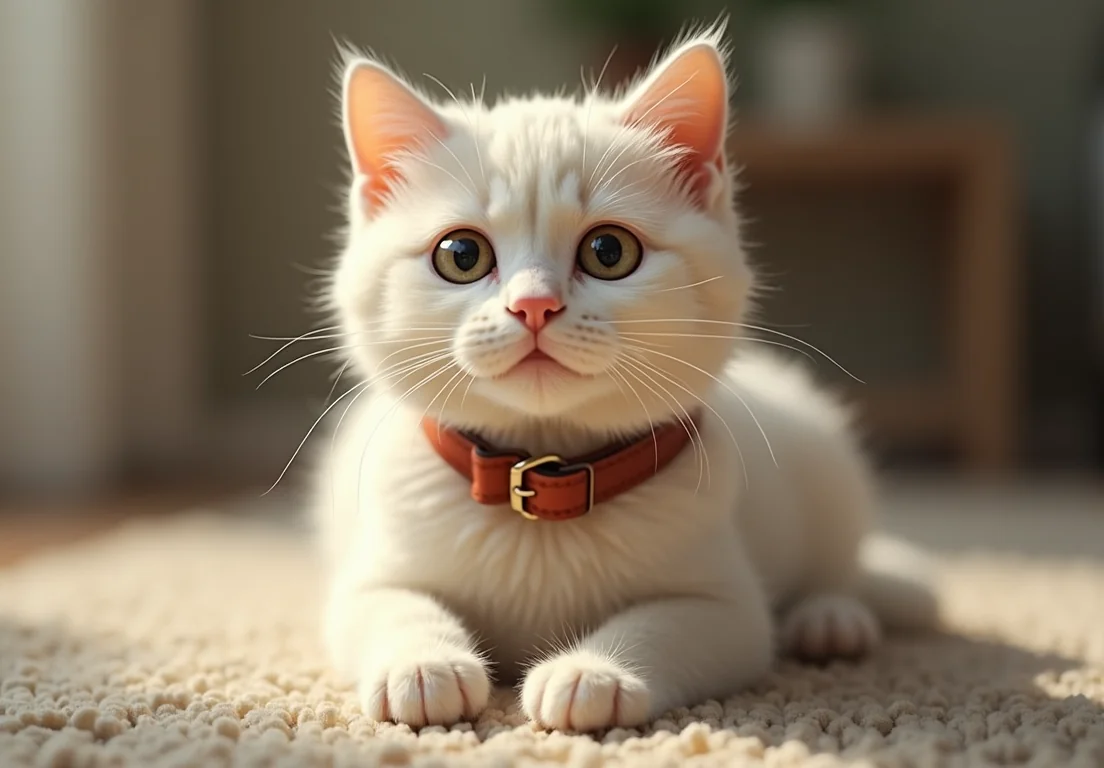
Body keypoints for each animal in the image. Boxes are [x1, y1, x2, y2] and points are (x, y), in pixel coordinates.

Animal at [311, 24, 940, 732]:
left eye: (608, 251)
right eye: (461, 254)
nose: (534, 304)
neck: (544, 494)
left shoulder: (727, 608)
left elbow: (665, 626)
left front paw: (592, 672)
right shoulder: (372, 567)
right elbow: (388, 604)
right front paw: (422, 665)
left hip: (826, 464)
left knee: (839, 564)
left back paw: (830, 619)